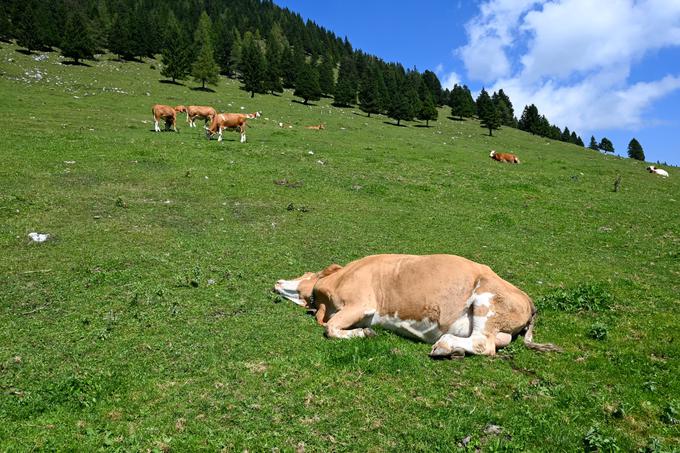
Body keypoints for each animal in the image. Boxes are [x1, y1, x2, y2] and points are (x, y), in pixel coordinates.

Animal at [274, 254, 560, 356]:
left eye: (307, 272)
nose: (276, 281)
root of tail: (527, 298)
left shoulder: (360, 305)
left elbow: (330, 328)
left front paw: (364, 332)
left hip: (487, 301)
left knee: (484, 344)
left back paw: (445, 346)